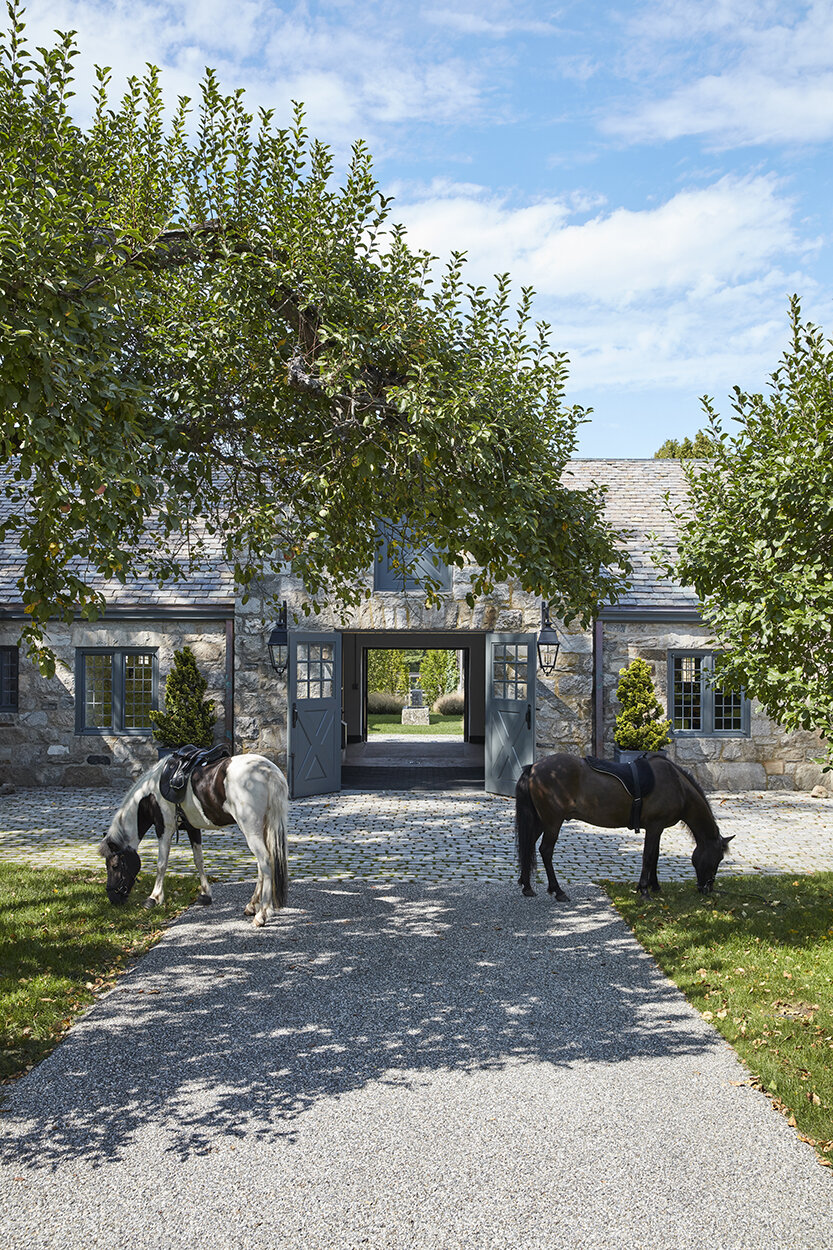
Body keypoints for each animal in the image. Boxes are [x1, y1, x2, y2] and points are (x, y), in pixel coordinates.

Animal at [95, 750, 285, 930]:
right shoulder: (193, 828)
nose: (113, 898)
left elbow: (161, 864)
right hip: (262, 829)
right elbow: (198, 860)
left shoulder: (164, 828)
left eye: (114, 865)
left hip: (251, 829)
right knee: (262, 866)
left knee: (265, 862)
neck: (150, 794)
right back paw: (252, 906)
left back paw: (262, 914)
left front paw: (154, 898)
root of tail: (267, 770)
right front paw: (205, 894)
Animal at [512, 750, 735, 900]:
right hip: (552, 822)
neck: (677, 785)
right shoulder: (655, 826)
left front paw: (655, 886)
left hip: (541, 821)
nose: (707, 888)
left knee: (528, 845)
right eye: (718, 858)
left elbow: (655, 856)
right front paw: (644, 890)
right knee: (545, 850)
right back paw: (557, 891)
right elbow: (648, 856)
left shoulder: (657, 828)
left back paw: (527, 886)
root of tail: (534, 768)